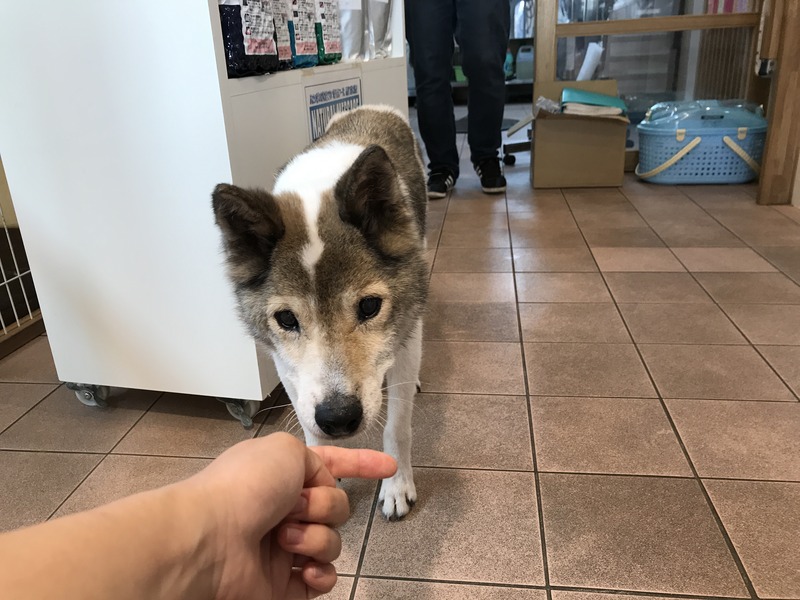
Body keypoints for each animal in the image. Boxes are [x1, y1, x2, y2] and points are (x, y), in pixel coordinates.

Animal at [211, 105, 428, 520]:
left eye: (369, 306)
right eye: (286, 319)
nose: (339, 419)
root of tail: (371, 108)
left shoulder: (406, 335)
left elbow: (398, 427)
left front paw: (397, 487)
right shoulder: (285, 364)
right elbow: (308, 427)